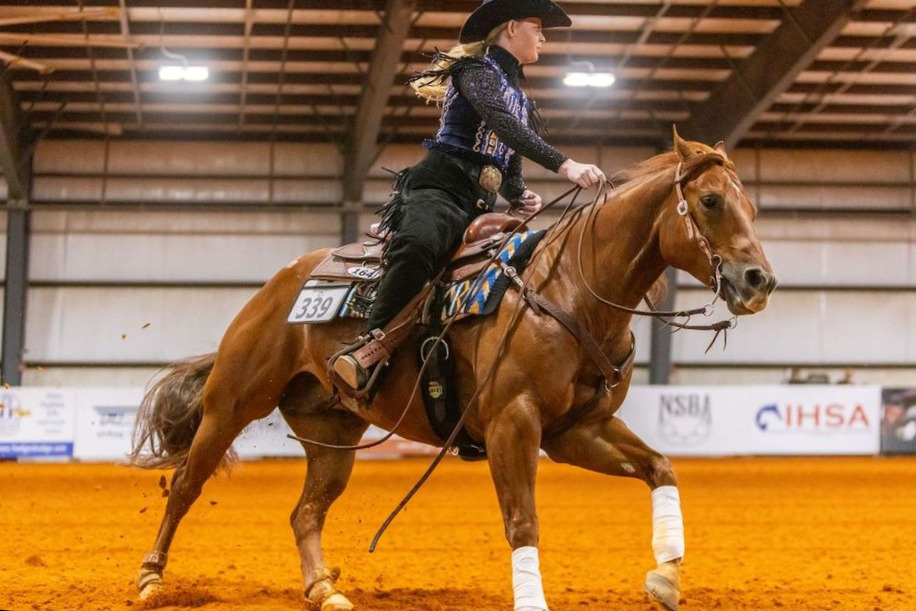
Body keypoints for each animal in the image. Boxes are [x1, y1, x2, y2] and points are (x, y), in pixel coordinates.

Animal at [130, 129, 776, 611]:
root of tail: (277, 285)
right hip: (233, 404)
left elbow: (661, 467)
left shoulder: (576, 432)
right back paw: (151, 577)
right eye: (711, 200)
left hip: (332, 434)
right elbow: (523, 522)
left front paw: (665, 579)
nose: (759, 281)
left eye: (753, 205)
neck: (570, 291)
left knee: (305, 511)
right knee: (186, 485)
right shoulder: (514, 423)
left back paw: (323, 589)